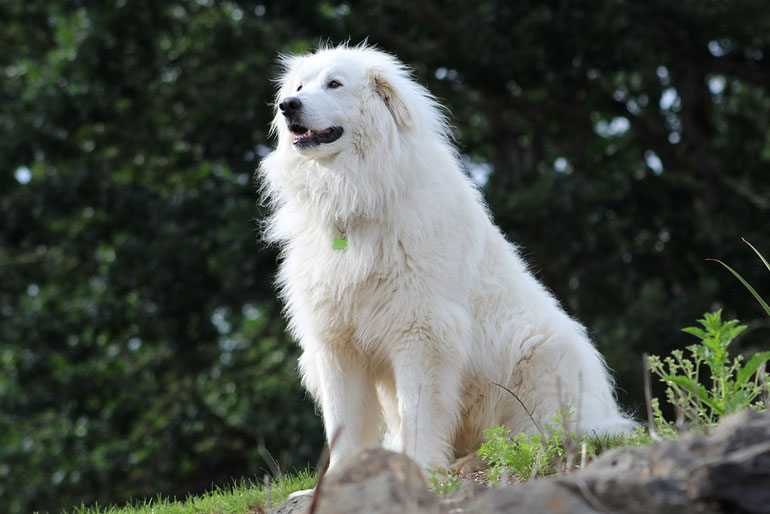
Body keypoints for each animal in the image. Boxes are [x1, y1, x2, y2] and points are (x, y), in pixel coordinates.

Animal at [258, 44, 632, 472]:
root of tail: (608, 415)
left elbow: (419, 412)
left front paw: (420, 468)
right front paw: (345, 476)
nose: (287, 105)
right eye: (300, 87)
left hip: (543, 354)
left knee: (537, 440)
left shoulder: (421, 332)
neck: (355, 196)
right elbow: (344, 422)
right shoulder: (337, 342)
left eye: (334, 84)